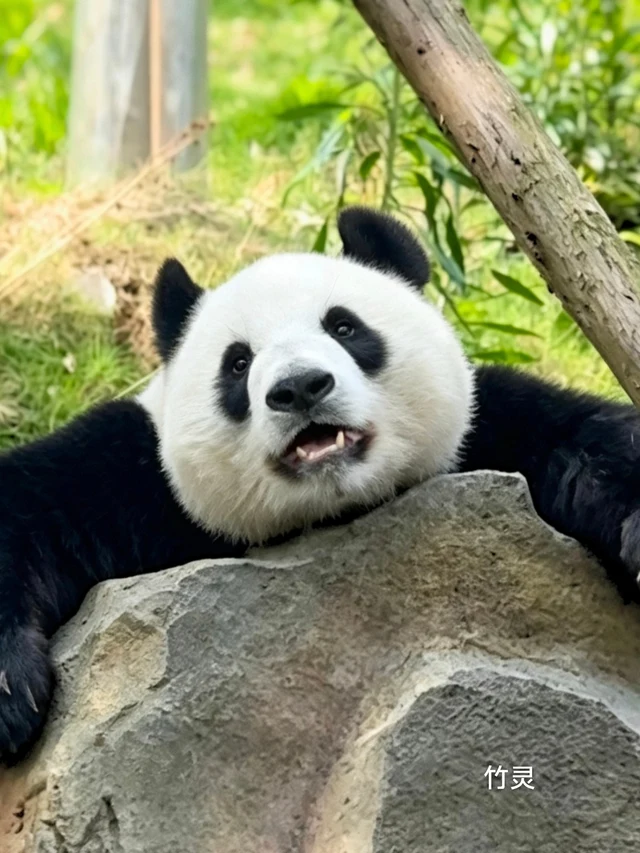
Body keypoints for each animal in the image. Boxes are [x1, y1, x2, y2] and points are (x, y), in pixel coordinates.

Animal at [1, 206, 639, 760]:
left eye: (344, 326)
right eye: (237, 362)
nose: (300, 387)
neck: (332, 512)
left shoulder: (488, 432)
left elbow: (585, 435)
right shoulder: (135, 477)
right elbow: (32, 505)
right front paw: (11, 694)